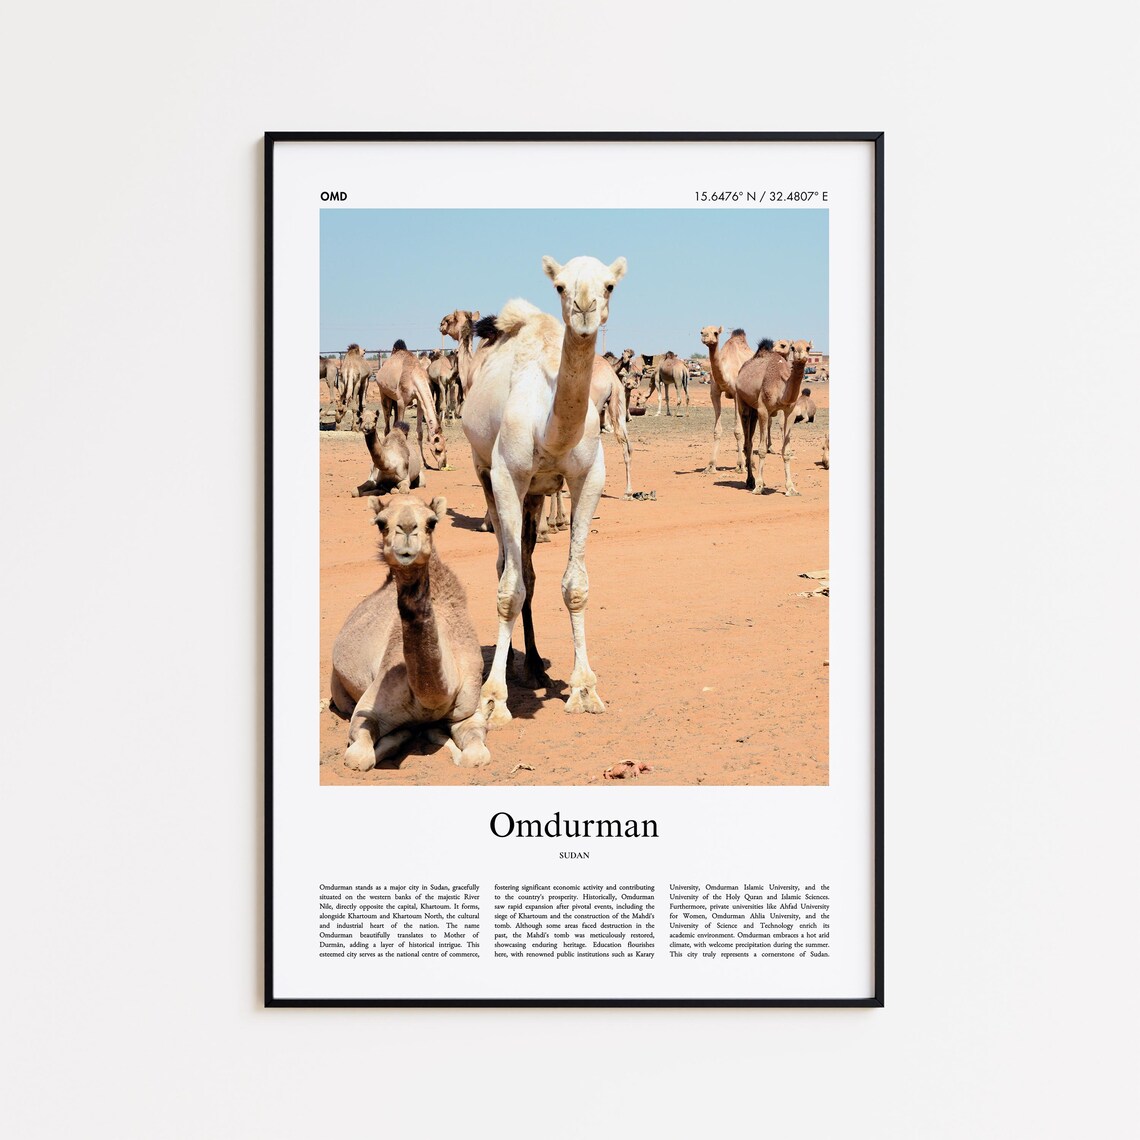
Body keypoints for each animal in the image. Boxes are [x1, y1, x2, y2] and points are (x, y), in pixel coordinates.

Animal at [331, 495, 490, 770]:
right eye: (381, 522)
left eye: (432, 522)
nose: (406, 528)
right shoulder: (367, 709)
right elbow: (359, 757)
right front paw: (404, 734)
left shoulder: (469, 710)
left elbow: (476, 756)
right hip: (337, 688)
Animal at [373, 340, 448, 470]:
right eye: (438, 450)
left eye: (446, 449)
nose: (443, 464)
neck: (414, 376)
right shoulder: (402, 402)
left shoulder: (419, 401)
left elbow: (420, 433)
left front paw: (425, 463)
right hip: (384, 394)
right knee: (387, 426)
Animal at [461, 253, 627, 723]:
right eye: (560, 286)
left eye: (609, 285)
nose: (585, 307)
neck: (548, 427)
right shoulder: (506, 476)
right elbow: (508, 589)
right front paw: (492, 698)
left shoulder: (588, 478)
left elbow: (575, 586)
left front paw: (584, 688)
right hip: (485, 472)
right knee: (506, 565)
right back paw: (509, 668)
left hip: (535, 494)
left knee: (530, 570)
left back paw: (534, 666)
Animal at [699, 326, 752, 472]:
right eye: (702, 332)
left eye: (716, 332)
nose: (705, 337)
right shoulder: (714, 393)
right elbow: (717, 430)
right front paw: (711, 466)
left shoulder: (736, 395)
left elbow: (738, 431)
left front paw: (740, 465)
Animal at [735, 338, 812, 495]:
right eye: (793, 348)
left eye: (808, 348)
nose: (801, 357)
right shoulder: (763, 409)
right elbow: (762, 449)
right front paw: (759, 487)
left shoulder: (790, 411)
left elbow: (786, 451)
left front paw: (791, 488)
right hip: (742, 401)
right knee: (748, 443)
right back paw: (750, 481)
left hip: (754, 411)